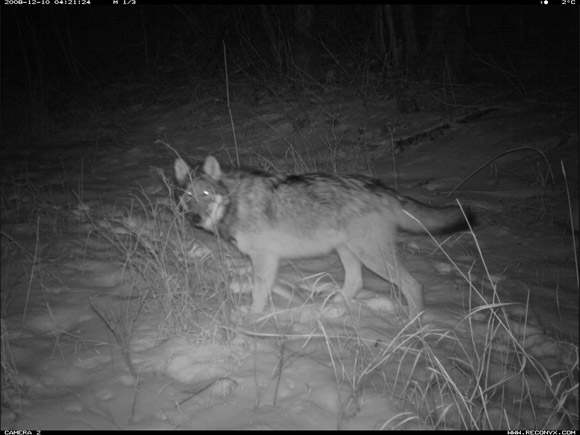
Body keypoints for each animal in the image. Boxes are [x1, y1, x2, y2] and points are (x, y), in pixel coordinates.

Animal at [174, 157, 468, 320]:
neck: (234, 202)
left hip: (372, 256)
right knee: (356, 282)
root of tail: (382, 188)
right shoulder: (265, 261)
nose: (195, 219)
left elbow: (259, 293)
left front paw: (252, 318)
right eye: (189, 195)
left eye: (206, 194)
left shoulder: (265, 258)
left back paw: (411, 326)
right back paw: (333, 305)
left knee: (413, 285)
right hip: (348, 251)